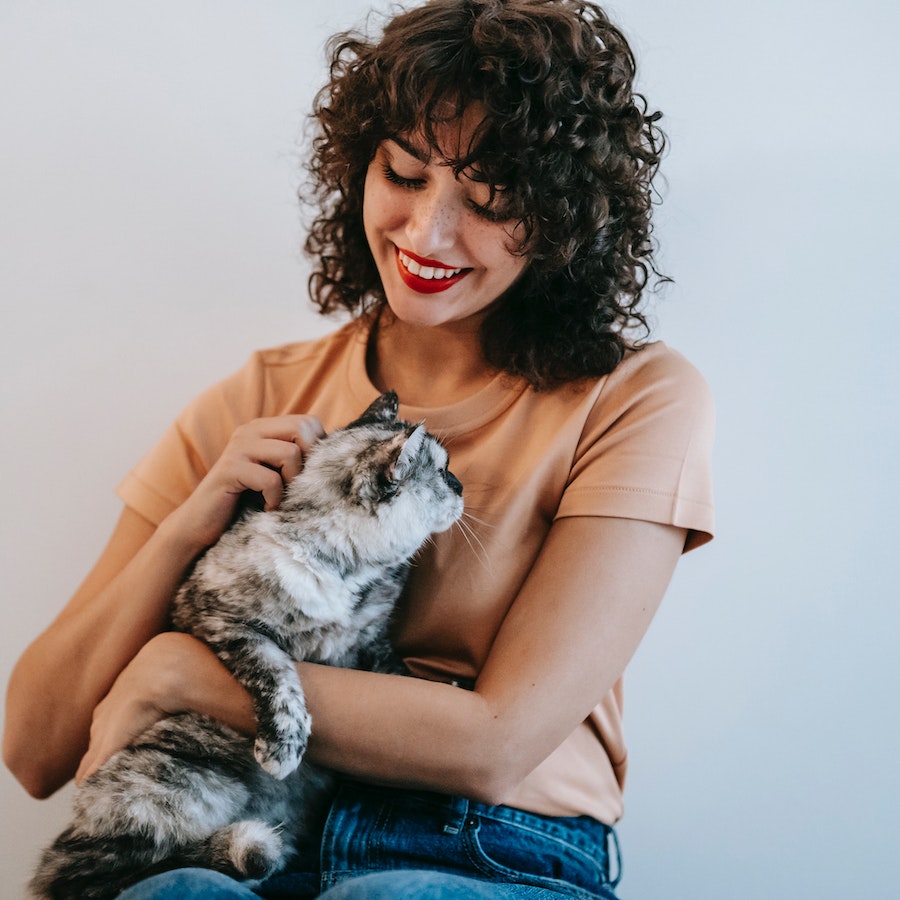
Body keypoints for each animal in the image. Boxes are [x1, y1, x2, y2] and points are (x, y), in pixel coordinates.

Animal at [28, 392, 464, 900]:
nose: (462, 485)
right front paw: (285, 744)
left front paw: (442, 687)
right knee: (96, 874)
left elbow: (395, 670)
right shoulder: (216, 618)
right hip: (172, 782)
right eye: (443, 471)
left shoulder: (371, 640)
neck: (342, 568)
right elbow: (277, 674)